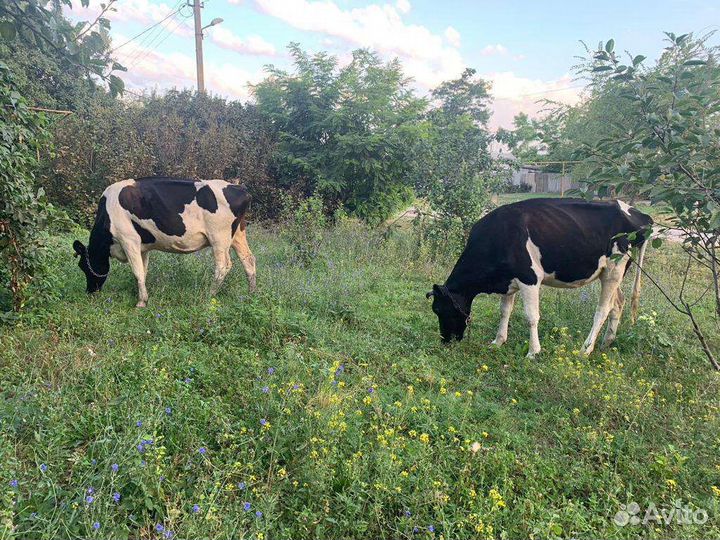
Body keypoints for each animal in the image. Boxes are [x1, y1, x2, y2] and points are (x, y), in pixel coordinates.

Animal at [73, 177, 256, 307]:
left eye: (82, 266)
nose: (90, 291)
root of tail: (239, 188)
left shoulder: (128, 239)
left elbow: (137, 271)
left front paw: (141, 302)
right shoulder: (143, 247)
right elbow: (143, 271)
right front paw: (140, 295)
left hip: (219, 237)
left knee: (223, 265)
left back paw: (209, 295)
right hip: (237, 235)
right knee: (248, 260)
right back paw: (251, 294)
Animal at [427, 198, 653, 357]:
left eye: (439, 309)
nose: (445, 340)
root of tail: (641, 215)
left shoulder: (529, 278)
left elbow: (531, 317)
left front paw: (533, 352)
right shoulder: (509, 281)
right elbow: (504, 311)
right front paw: (498, 342)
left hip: (615, 269)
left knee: (603, 310)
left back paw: (585, 350)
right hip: (609, 272)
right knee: (619, 302)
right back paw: (606, 342)